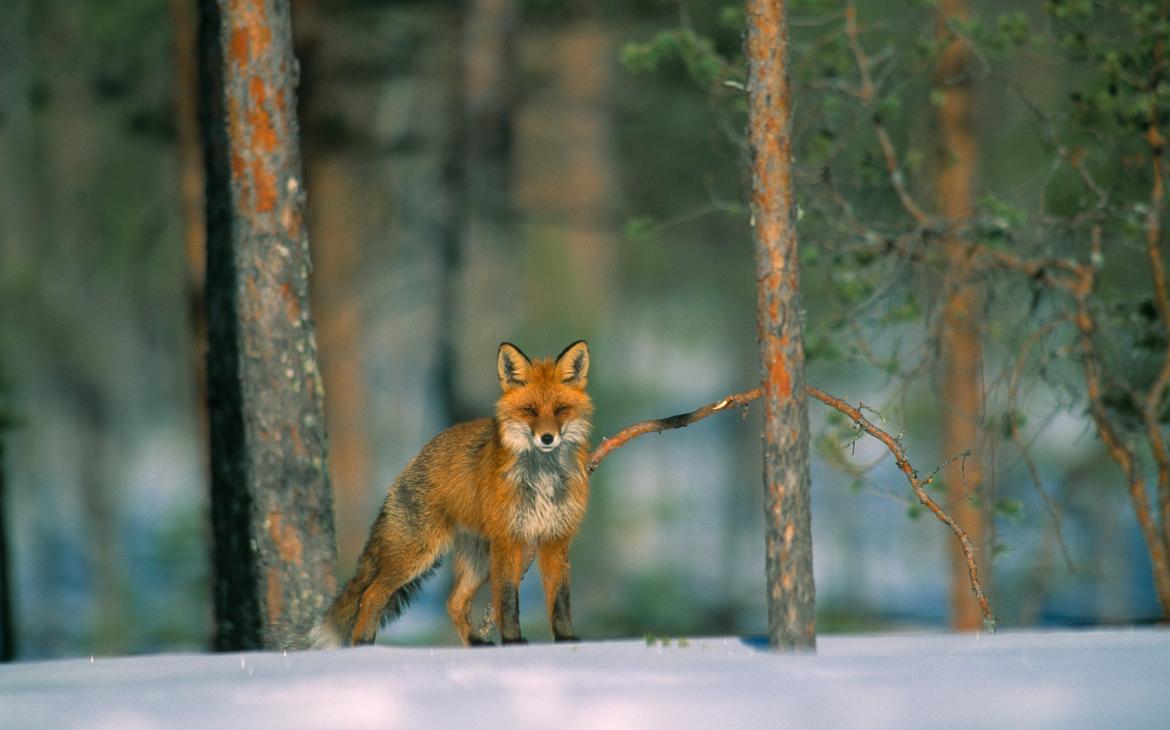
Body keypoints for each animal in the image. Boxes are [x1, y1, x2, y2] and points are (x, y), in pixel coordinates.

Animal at [310, 340, 593, 648]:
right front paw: (513, 643)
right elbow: (508, 599)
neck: (543, 476)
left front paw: (566, 640)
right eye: (529, 410)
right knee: (371, 594)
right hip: (419, 553)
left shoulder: (556, 537)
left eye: (561, 409)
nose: (547, 438)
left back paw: (476, 644)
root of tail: (414, 459)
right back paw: (363, 646)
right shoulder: (508, 539)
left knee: (453, 602)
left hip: (478, 561)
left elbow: (560, 600)